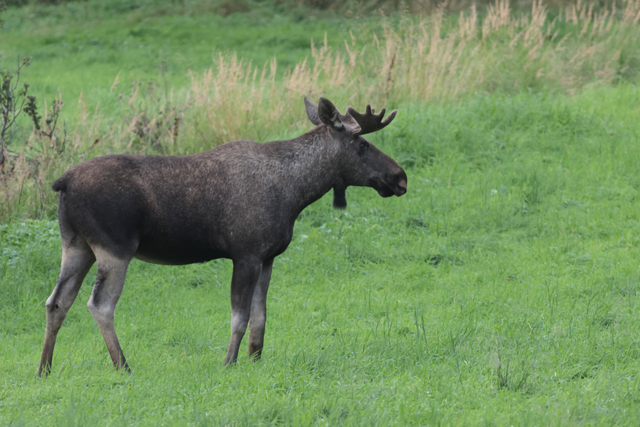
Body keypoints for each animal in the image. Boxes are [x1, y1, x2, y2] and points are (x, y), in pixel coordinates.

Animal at [40, 98, 408, 378]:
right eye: (362, 144)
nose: (400, 177)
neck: (296, 193)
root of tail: (62, 182)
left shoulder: (268, 257)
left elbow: (261, 317)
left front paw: (255, 360)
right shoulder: (246, 253)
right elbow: (240, 316)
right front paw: (229, 362)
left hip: (76, 245)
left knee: (57, 301)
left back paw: (44, 368)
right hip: (114, 248)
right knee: (99, 304)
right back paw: (124, 367)